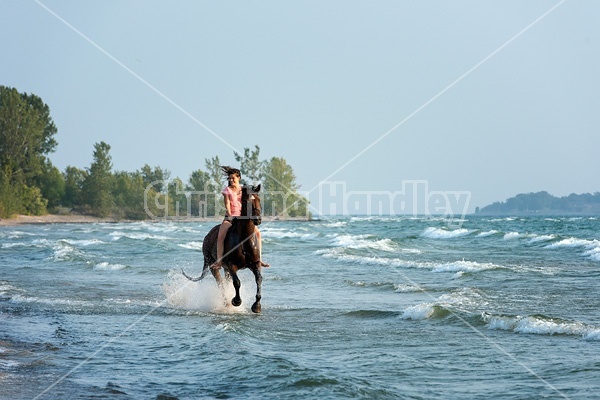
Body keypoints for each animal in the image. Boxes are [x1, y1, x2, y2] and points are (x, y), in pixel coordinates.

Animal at [182, 184, 264, 312]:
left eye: (259, 199)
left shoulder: (254, 264)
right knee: (220, 283)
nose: (257, 219)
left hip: (226, 269)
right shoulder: (232, 265)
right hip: (214, 266)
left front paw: (257, 306)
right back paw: (226, 303)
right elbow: (237, 282)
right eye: (246, 201)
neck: (244, 240)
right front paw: (236, 301)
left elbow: (258, 279)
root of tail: (207, 236)